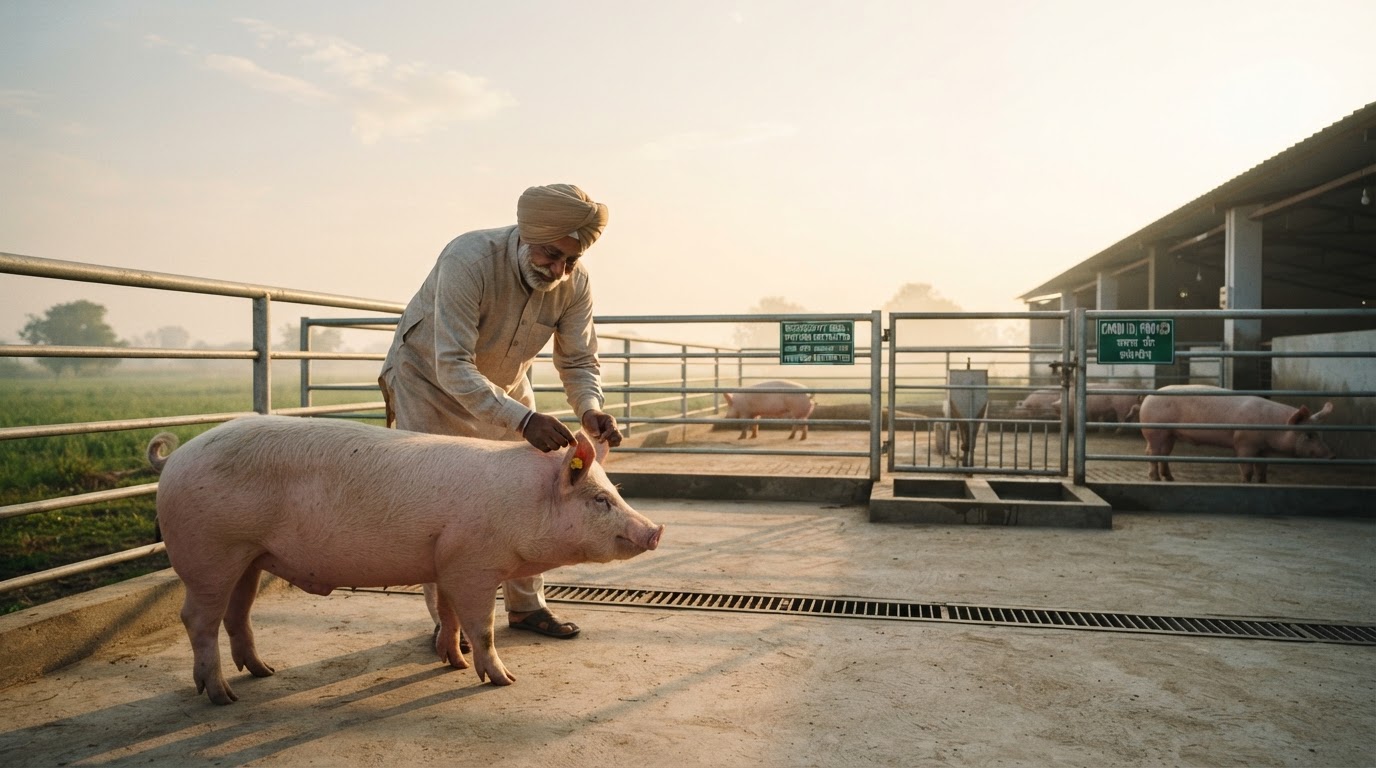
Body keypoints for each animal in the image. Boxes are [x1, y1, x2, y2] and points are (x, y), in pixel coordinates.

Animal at [148, 414, 663, 704]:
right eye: (600, 500)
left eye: (614, 491)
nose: (655, 530)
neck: (523, 502)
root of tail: (175, 458)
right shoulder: (474, 564)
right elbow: (483, 626)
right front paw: (504, 680)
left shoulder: (447, 563)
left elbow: (452, 618)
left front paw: (453, 663)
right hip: (210, 553)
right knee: (197, 618)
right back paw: (222, 697)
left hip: (250, 557)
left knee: (237, 614)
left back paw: (264, 672)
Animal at [1136, 384, 1336, 483]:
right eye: (1309, 435)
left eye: (1321, 434)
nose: (1331, 455)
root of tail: (1148, 397)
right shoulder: (1244, 442)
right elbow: (1246, 468)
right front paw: (1245, 483)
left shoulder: (1263, 450)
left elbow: (1262, 469)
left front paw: (1262, 482)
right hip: (1155, 431)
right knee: (1151, 453)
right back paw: (1155, 478)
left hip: (1169, 434)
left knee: (1164, 454)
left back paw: (1169, 478)